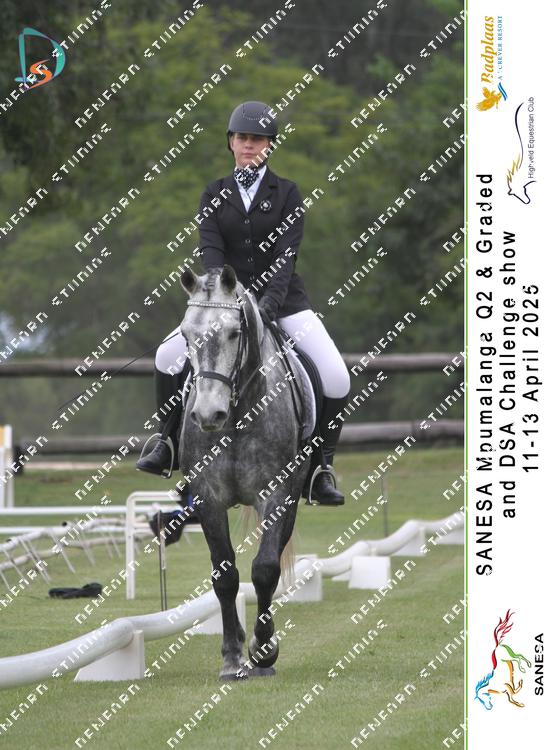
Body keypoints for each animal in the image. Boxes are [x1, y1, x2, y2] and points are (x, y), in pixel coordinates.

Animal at [177, 265, 311, 680]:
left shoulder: (279, 493)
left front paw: (263, 650)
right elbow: (225, 577)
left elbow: (265, 569)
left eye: (234, 333)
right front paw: (232, 657)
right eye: (185, 335)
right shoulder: (208, 498)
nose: (208, 415)